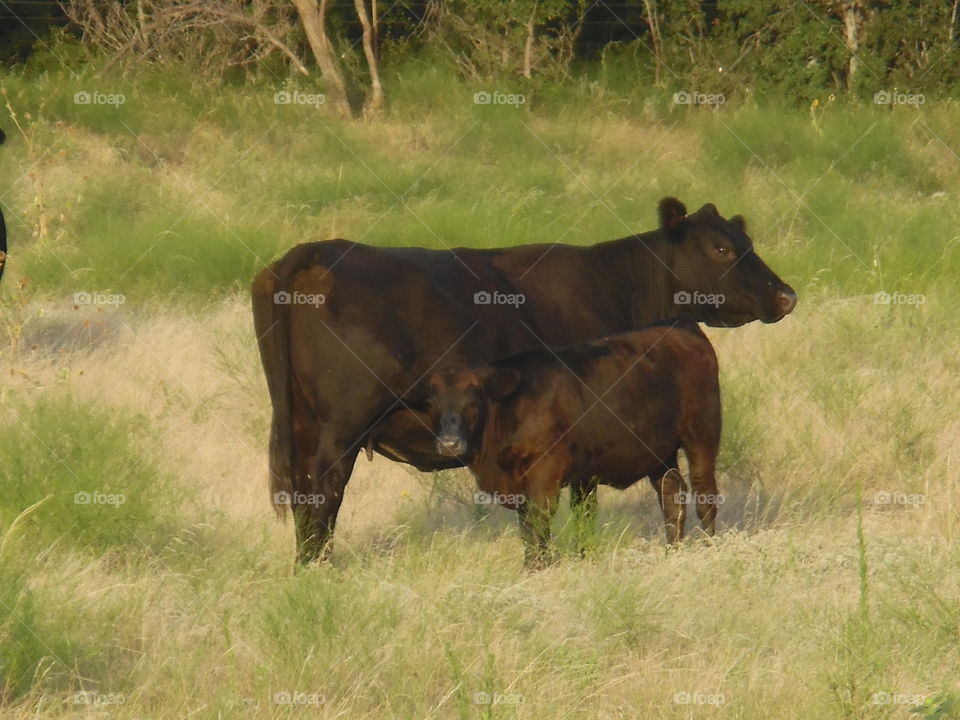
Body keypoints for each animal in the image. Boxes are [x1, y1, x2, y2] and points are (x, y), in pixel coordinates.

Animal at [421, 319, 720, 568]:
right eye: (433, 403)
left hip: (702, 434)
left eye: (473, 399)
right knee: (671, 495)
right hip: (659, 453)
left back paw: (710, 547)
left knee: (704, 493)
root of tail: (682, 327)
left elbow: (537, 523)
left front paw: (537, 568)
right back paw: (672, 552)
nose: (449, 443)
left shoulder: (546, 471)